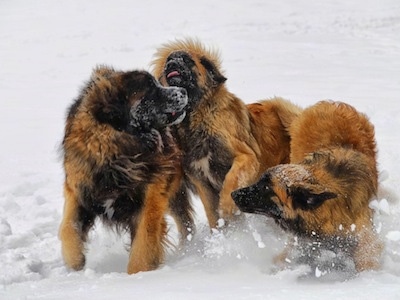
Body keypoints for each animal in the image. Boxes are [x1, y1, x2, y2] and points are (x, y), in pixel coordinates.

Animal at [59, 65, 195, 274]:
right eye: (150, 90)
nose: (183, 91)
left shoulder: (150, 199)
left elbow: (144, 240)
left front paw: (137, 274)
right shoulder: (79, 190)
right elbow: (68, 227)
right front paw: (75, 261)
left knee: (185, 222)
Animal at [152, 38, 302, 229]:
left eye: (186, 60)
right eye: (168, 61)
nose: (171, 64)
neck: (197, 115)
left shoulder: (246, 156)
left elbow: (231, 180)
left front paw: (227, 206)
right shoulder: (201, 180)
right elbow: (212, 213)